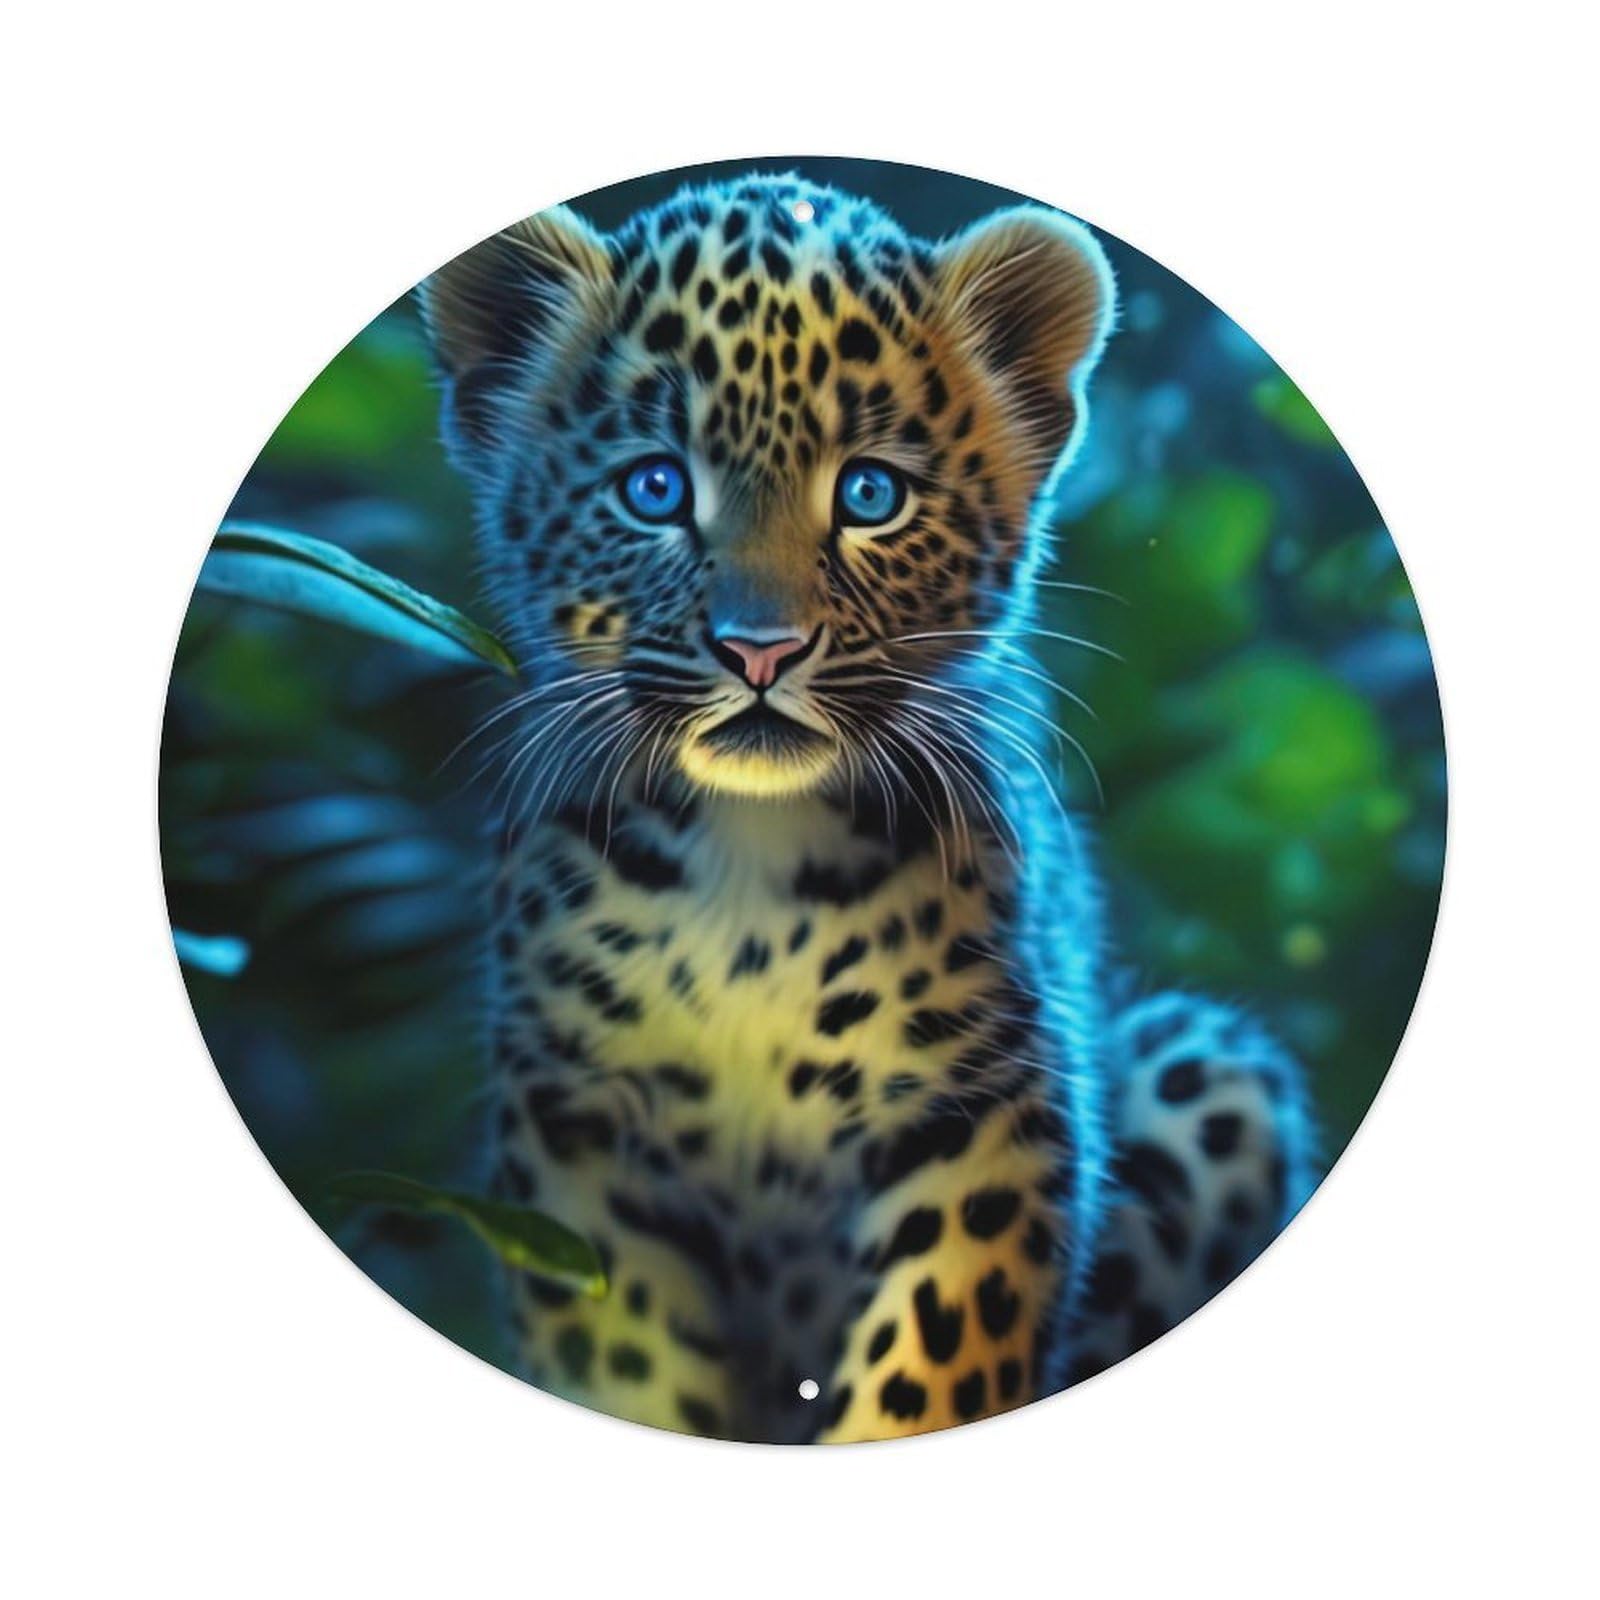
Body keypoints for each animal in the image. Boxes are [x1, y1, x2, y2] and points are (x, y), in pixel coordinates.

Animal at [418, 172, 1319, 1443]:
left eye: (869, 493)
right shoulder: (575, 1127)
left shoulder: (982, 1102)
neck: (745, 865)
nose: (759, 651)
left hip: (1207, 1071)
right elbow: (625, 1364)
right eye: (654, 488)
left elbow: (935, 1355)